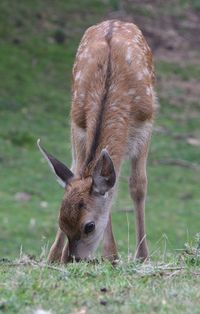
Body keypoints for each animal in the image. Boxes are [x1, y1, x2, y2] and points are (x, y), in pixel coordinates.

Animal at [37, 19, 156, 264]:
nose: (72, 259)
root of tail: (114, 21)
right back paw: (53, 256)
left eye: (89, 226)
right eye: (60, 221)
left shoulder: (146, 125)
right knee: (75, 168)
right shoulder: (78, 126)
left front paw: (142, 256)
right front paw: (111, 255)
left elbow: (138, 185)